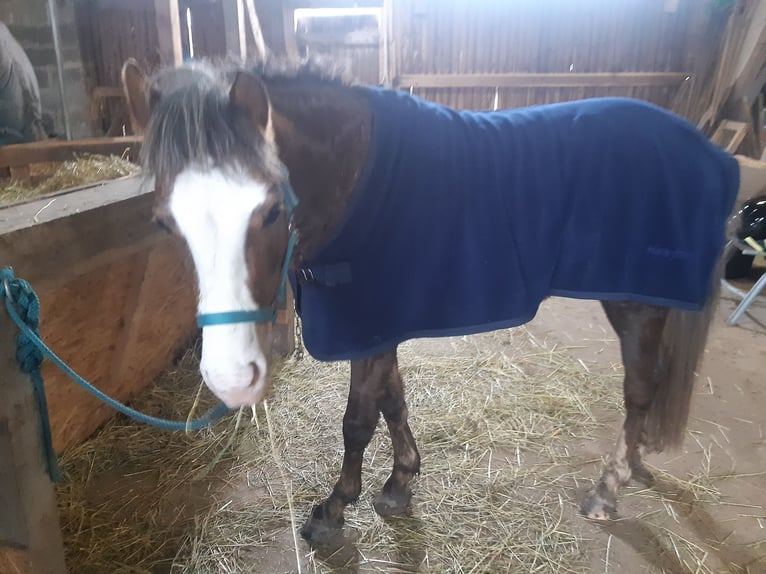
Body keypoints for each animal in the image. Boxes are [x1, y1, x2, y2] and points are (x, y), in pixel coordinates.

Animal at [120, 57, 740, 544]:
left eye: (271, 210)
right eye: (163, 221)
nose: (230, 379)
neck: (352, 174)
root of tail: (707, 149)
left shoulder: (368, 322)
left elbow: (358, 421)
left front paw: (334, 510)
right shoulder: (380, 324)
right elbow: (393, 402)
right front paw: (399, 485)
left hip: (636, 302)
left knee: (640, 389)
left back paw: (609, 489)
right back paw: (633, 466)